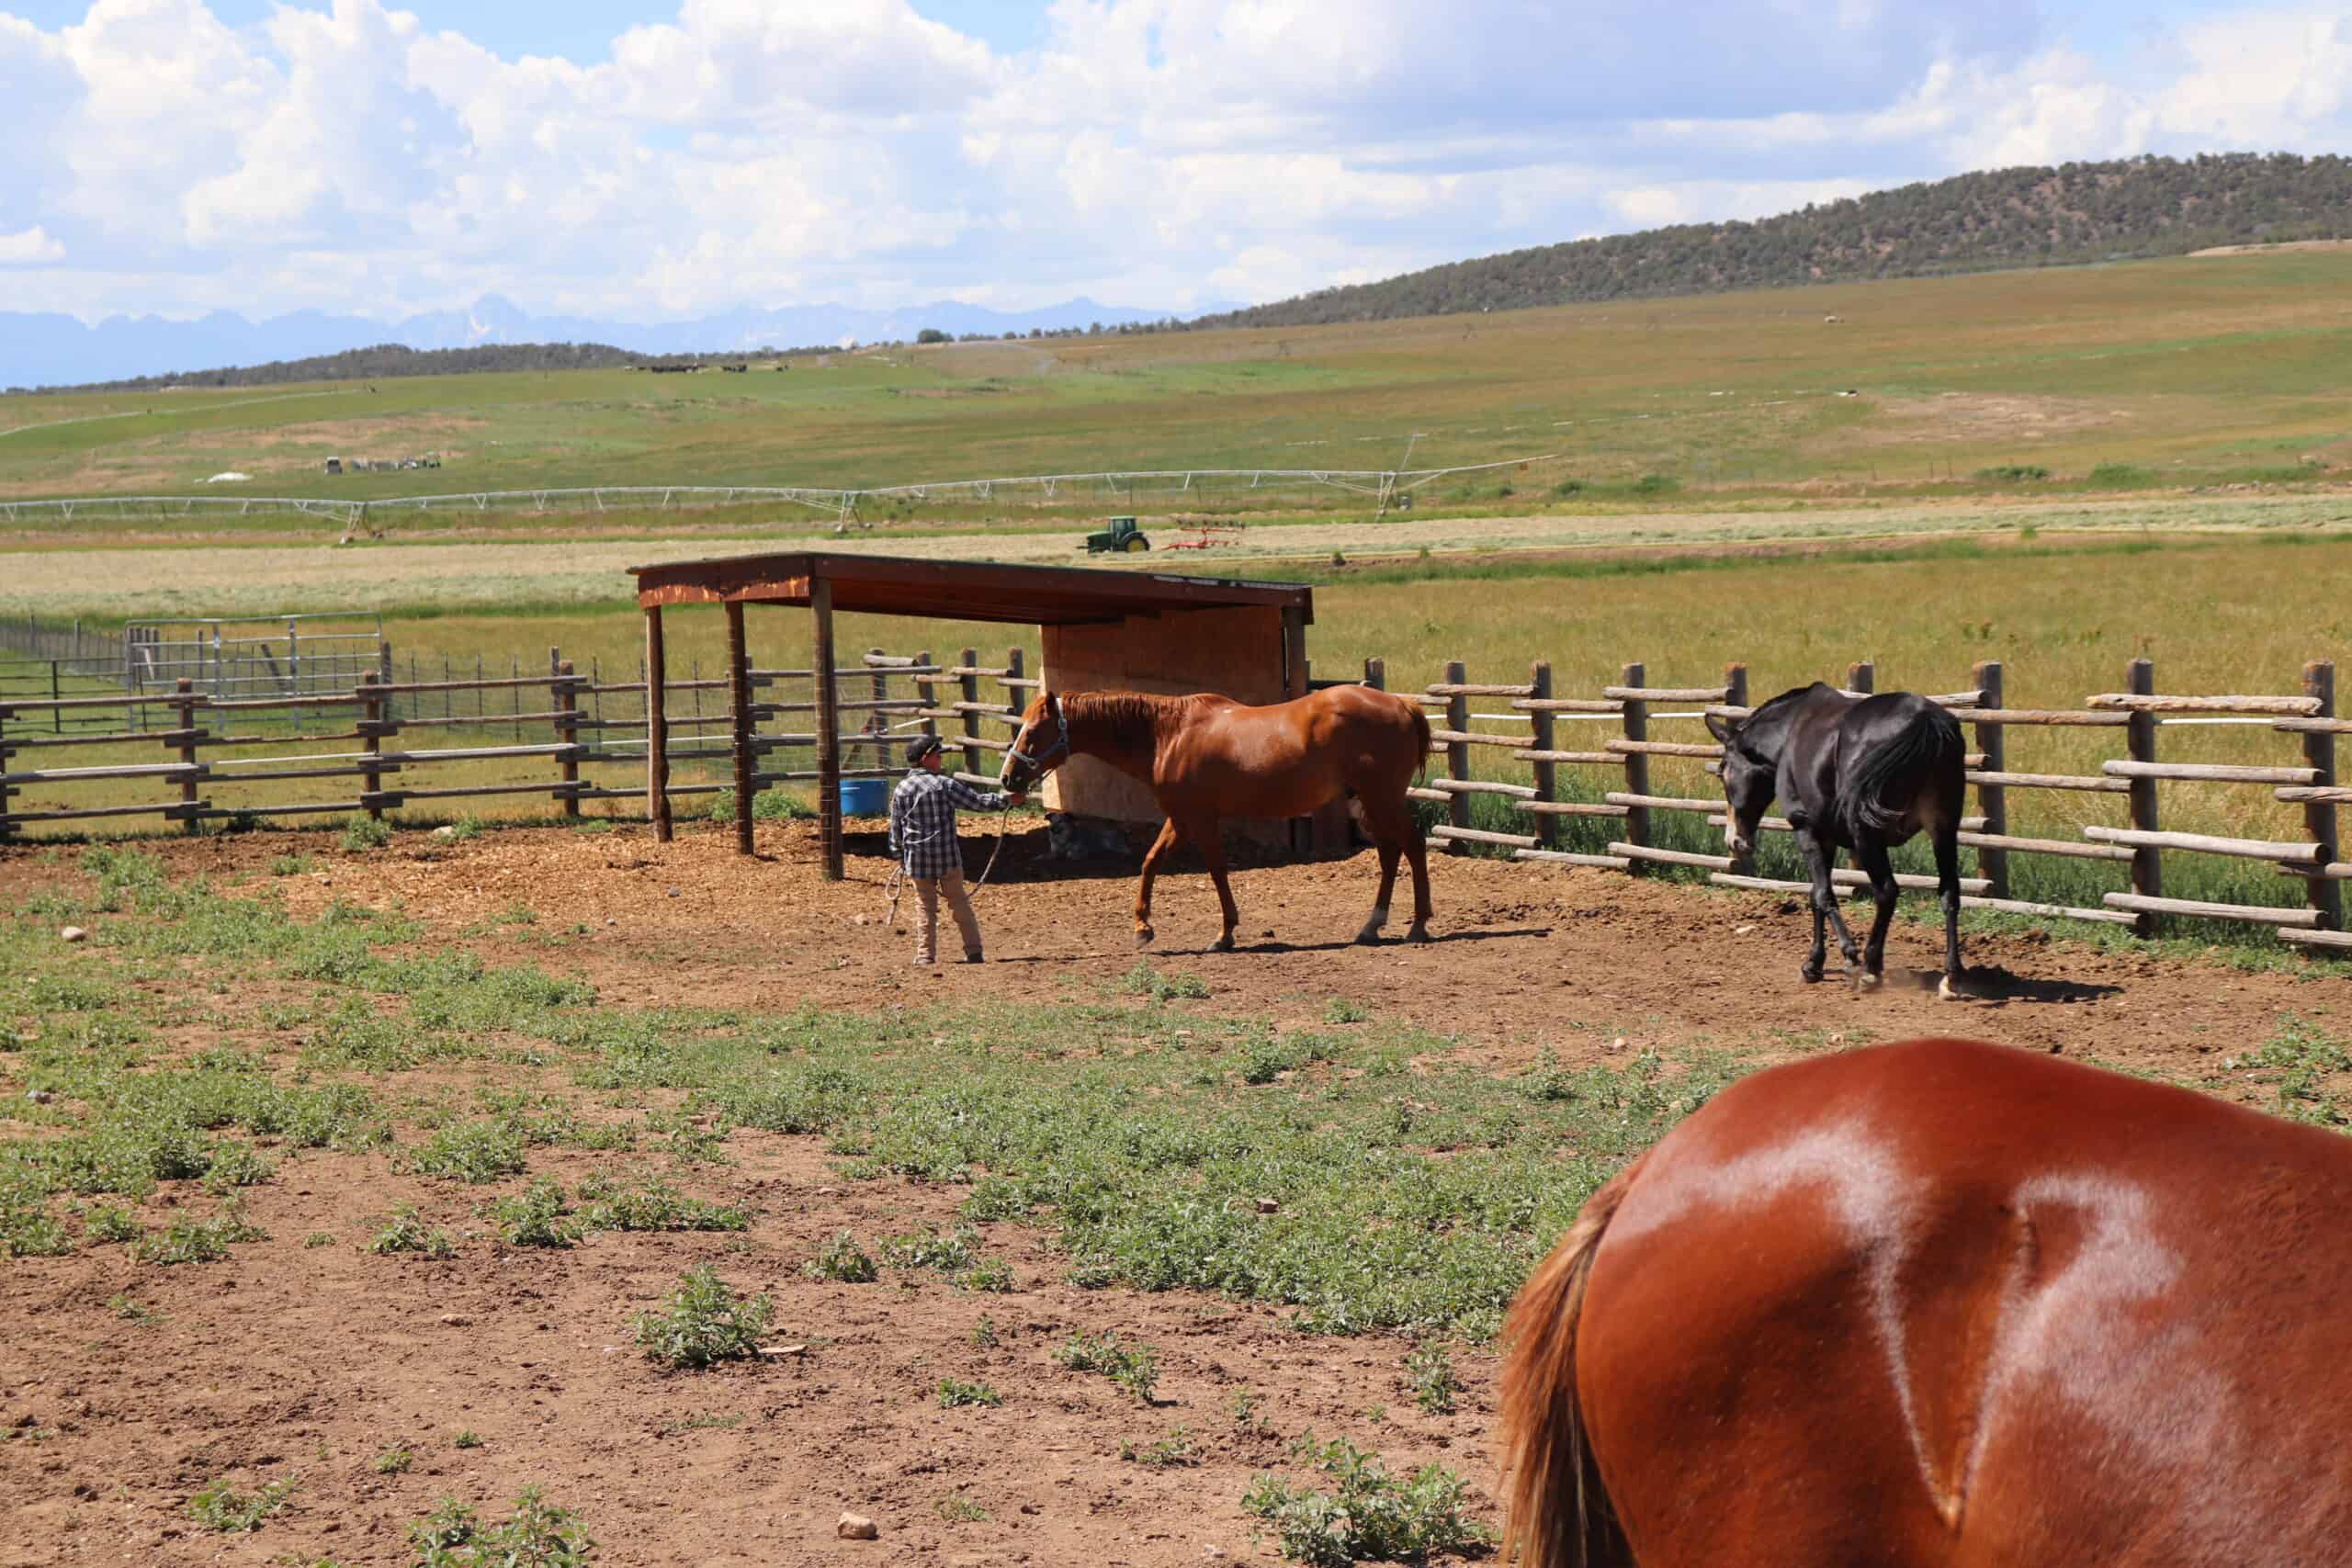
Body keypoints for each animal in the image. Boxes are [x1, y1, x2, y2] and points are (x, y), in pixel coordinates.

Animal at [999, 685, 1433, 950]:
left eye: (1033, 731)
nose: (1008, 778)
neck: (1169, 734)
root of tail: (1401, 704)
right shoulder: (1180, 819)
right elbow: (1150, 862)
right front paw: (1143, 928)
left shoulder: (1201, 820)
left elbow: (1217, 871)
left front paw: (1224, 934)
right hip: (1372, 803)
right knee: (1391, 854)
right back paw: (1372, 926)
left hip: (1383, 799)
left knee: (1412, 847)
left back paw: (1417, 926)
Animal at [1705, 681, 1968, 998]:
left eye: (1723, 771)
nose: (1734, 840)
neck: (1789, 733)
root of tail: (1926, 720)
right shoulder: (1826, 836)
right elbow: (1815, 896)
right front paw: (1814, 964)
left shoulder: (1806, 829)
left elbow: (1823, 894)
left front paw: (1848, 957)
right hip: (1943, 830)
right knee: (1949, 892)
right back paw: (1951, 976)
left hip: (1867, 835)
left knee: (1887, 892)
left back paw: (1870, 968)